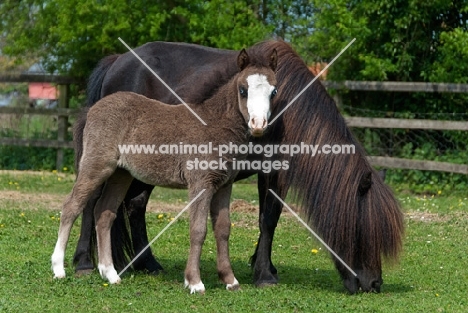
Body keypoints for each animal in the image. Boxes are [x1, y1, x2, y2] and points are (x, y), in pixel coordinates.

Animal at [73, 39, 402, 292]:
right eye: (364, 233)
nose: (375, 284)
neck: (286, 111)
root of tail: (116, 62)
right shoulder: (271, 171)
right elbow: (268, 218)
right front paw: (264, 275)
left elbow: (268, 219)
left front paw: (263, 266)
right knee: (91, 202)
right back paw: (84, 263)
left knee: (134, 206)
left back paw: (147, 263)